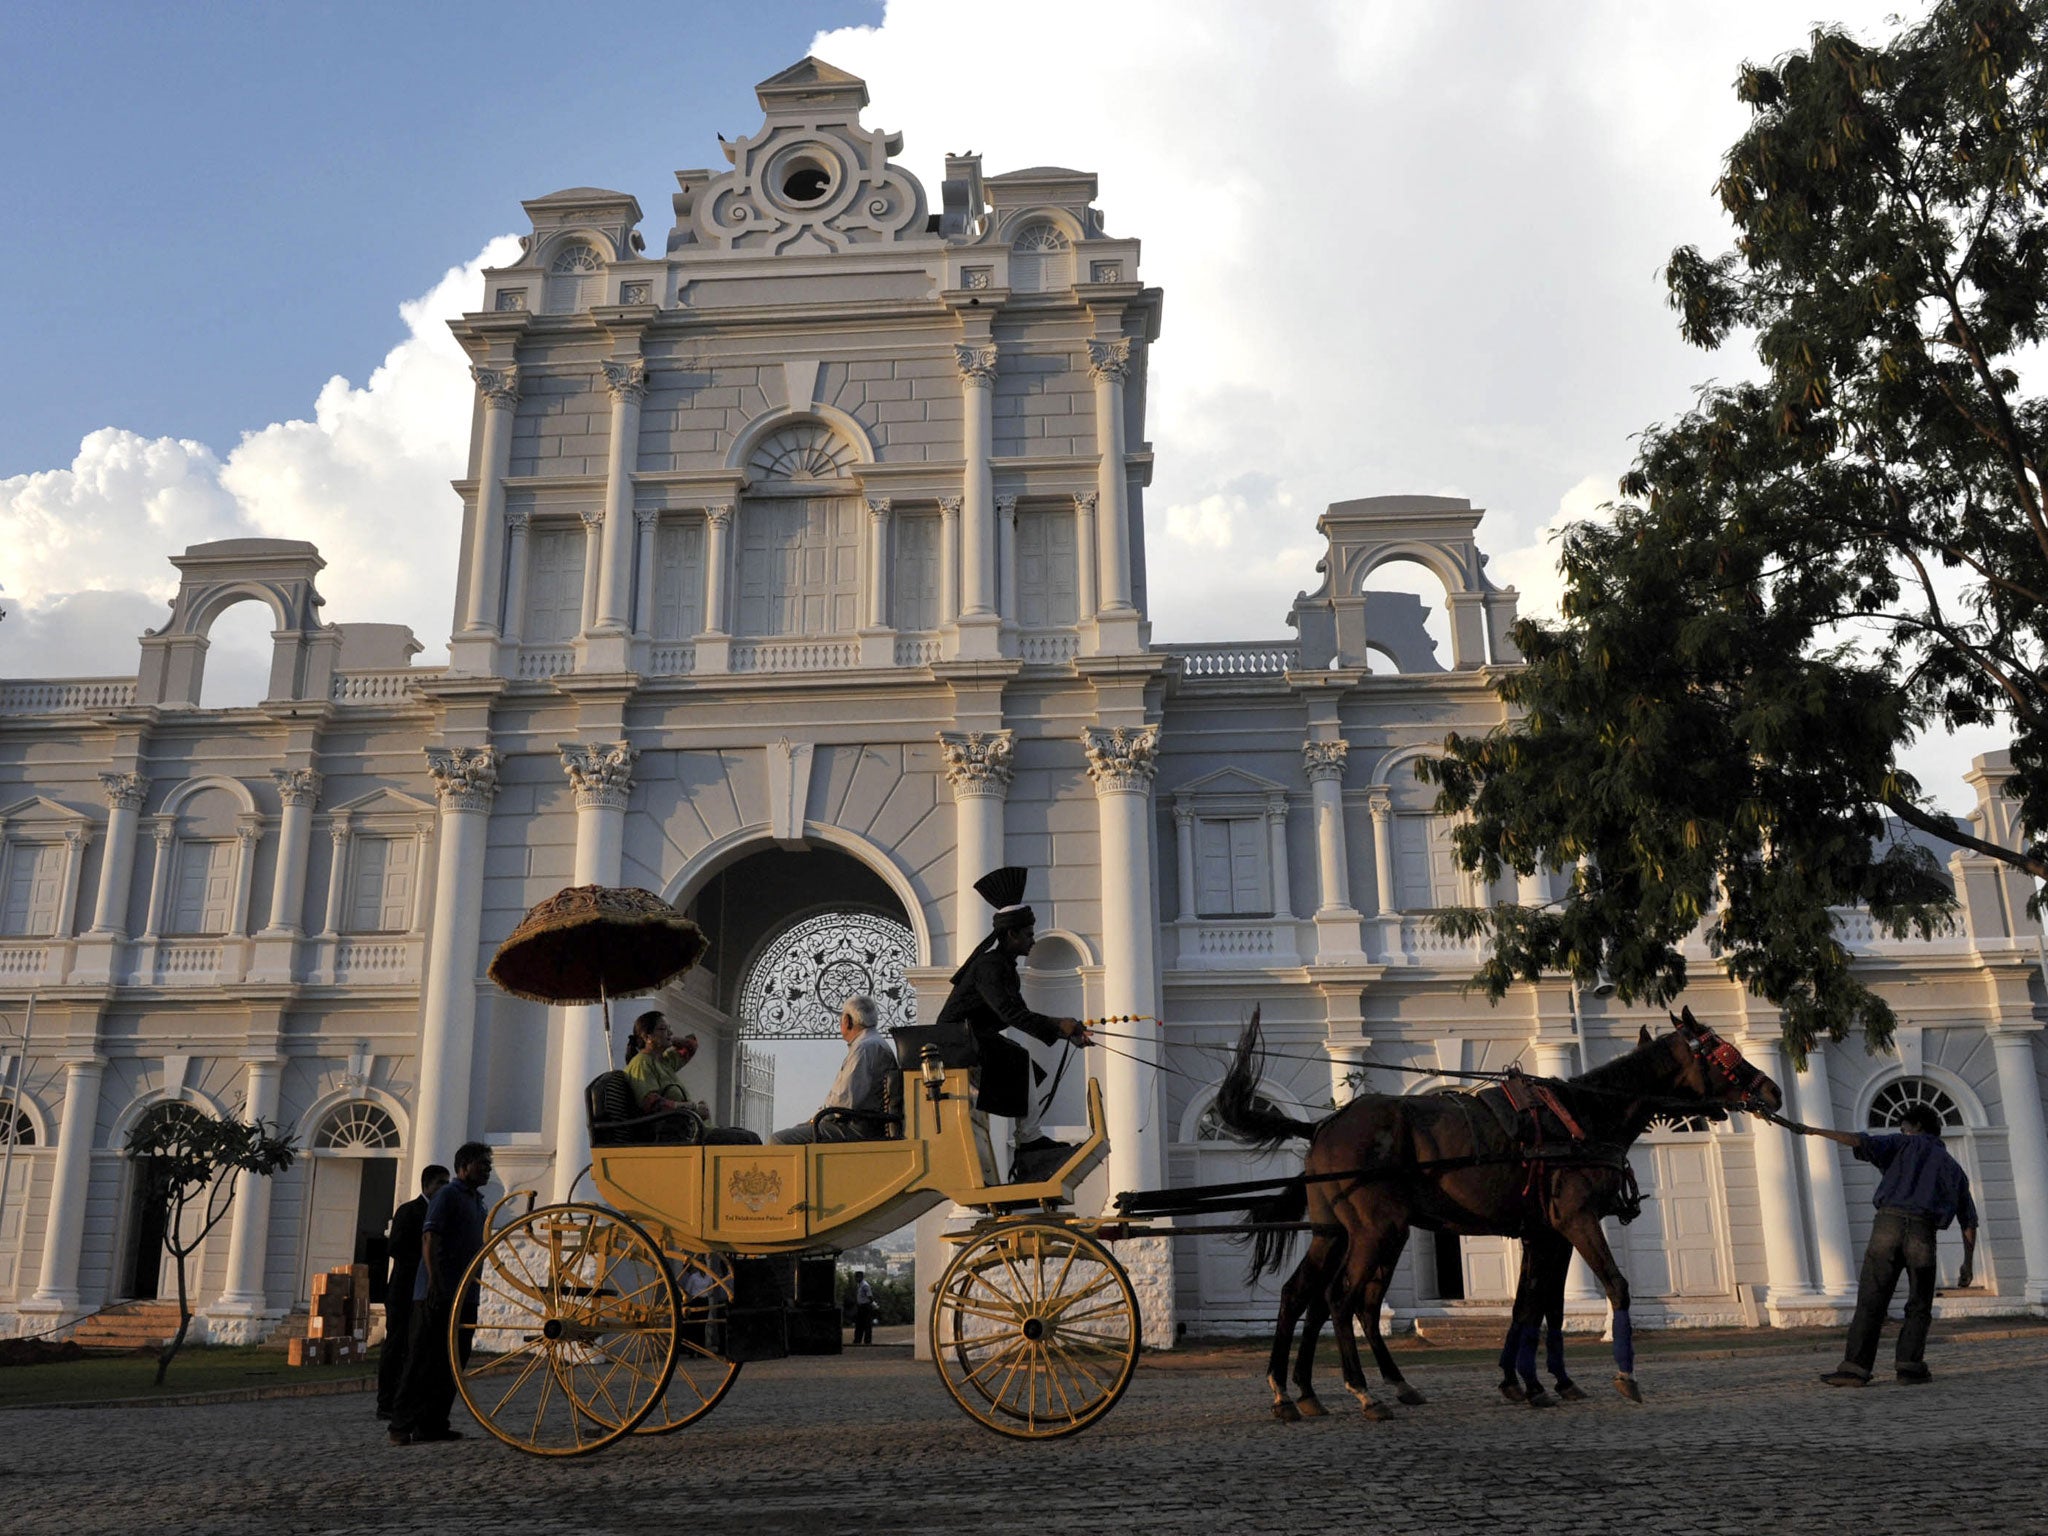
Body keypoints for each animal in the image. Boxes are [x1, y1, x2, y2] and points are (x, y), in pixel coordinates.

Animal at [1212, 1015, 1777, 1425]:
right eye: (1724, 1049)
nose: (1771, 1090)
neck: (1581, 1116)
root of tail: (1325, 1124)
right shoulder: (1575, 1223)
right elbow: (1610, 1287)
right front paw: (1620, 1376)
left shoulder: (1543, 1235)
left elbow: (1537, 1306)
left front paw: (1532, 1382)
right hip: (1376, 1234)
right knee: (1340, 1299)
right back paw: (1362, 1392)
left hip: (1338, 1234)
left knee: (1308, 1296)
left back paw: (1299, 1392)